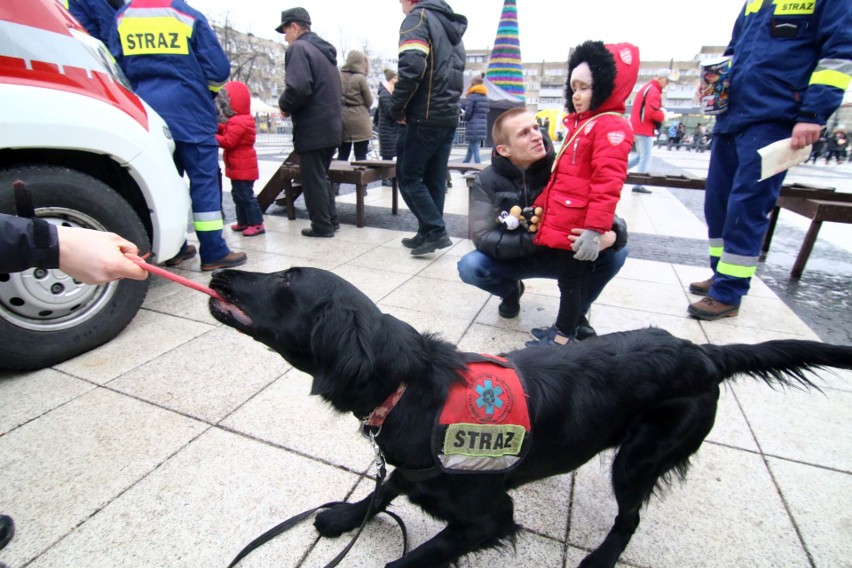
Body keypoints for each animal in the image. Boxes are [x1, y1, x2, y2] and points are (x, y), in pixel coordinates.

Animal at [208, 268, 852, 568]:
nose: (220, 273)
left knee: (629, 518)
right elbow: (383, 489)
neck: (410, 384)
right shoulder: (411, 466)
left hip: (640, 456)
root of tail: (703, 353)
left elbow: (413, 555)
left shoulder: (491, 517)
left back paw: (601, 557)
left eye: (286, 279)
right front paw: (344, 516)